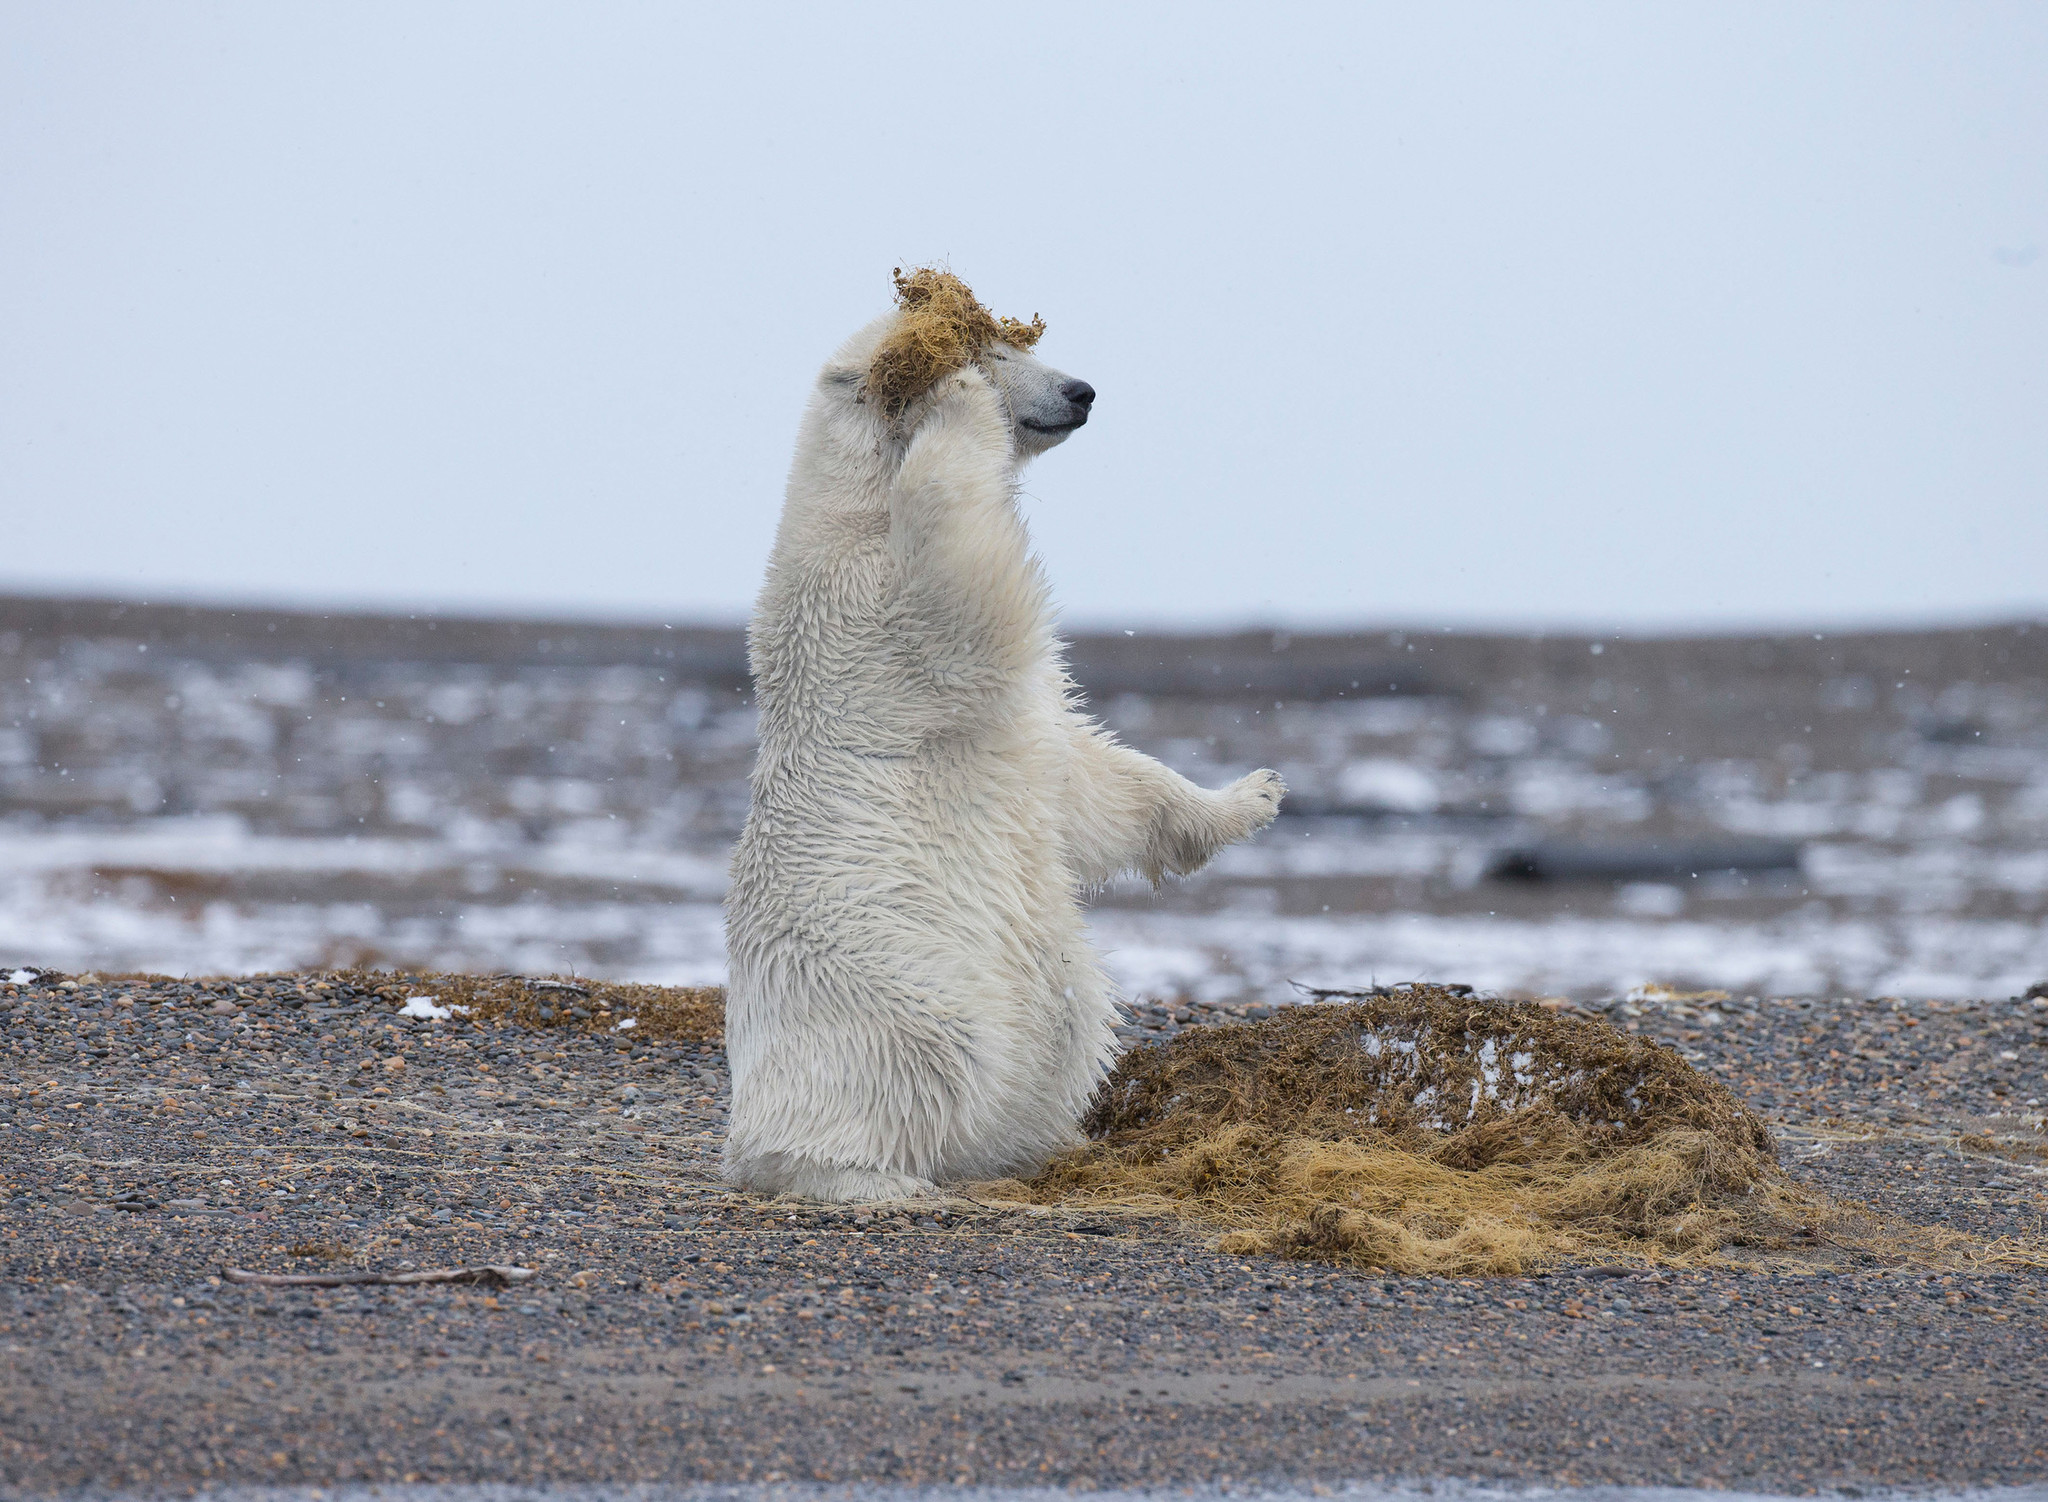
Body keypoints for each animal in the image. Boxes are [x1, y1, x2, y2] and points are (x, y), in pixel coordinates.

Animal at [724, 272, 1277, 1204]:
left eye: (1023, 346)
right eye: (998, 351)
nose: (1081, 391)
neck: (851, 509)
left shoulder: (1029, 724)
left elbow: (1091, 780)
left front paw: (1253, 794)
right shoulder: (863, 606)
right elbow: (957, 568)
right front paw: (953, 393)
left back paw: (1044, 1147)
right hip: (881, 994)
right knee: (900, 1068)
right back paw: (872, 1180)